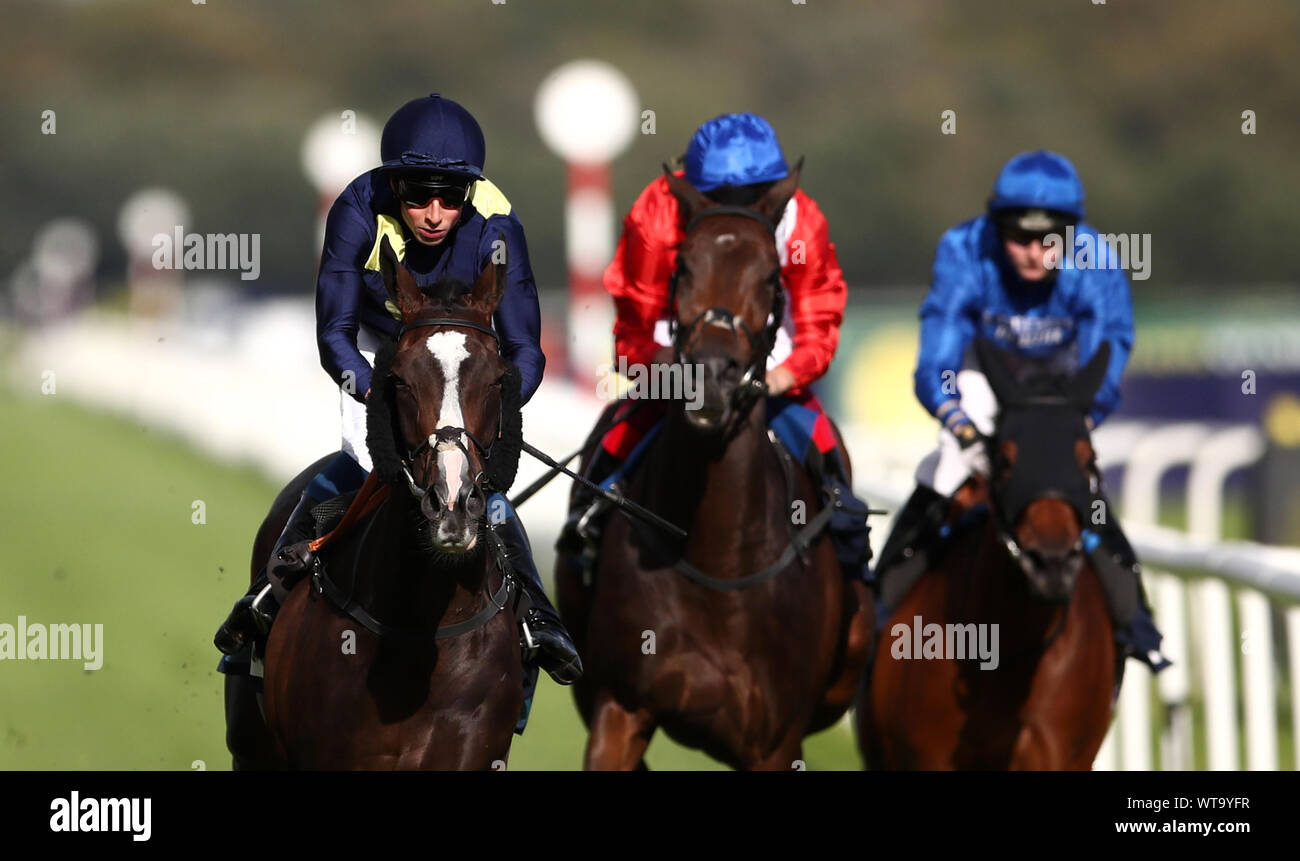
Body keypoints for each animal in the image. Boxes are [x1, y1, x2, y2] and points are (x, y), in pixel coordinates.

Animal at [556, 165, 873, 769]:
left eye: (771, 276)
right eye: (683, 266)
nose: (709, 380)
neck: (717, 558)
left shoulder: (775, 742)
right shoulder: (617, 710)